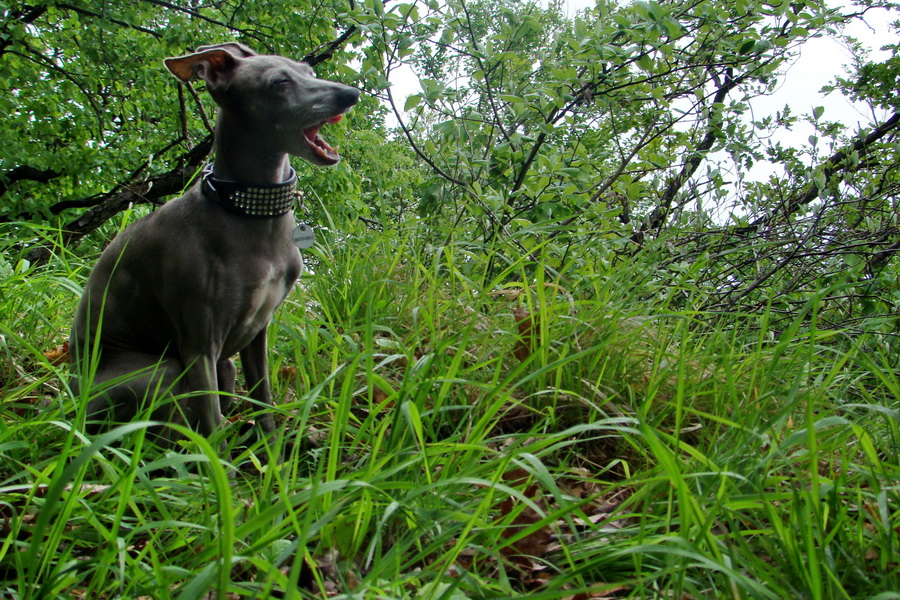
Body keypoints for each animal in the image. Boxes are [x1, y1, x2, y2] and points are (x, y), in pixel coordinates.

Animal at [71, 42, 358, 452]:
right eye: (279, 82)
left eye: (308, 70)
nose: (351, 94)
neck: (249, 209)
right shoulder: (198, 346)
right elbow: (213, 426)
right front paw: (223, 470)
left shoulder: (257, 335)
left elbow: (263, 402)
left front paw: (272, 456)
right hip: (163, 370)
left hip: (225, 366)